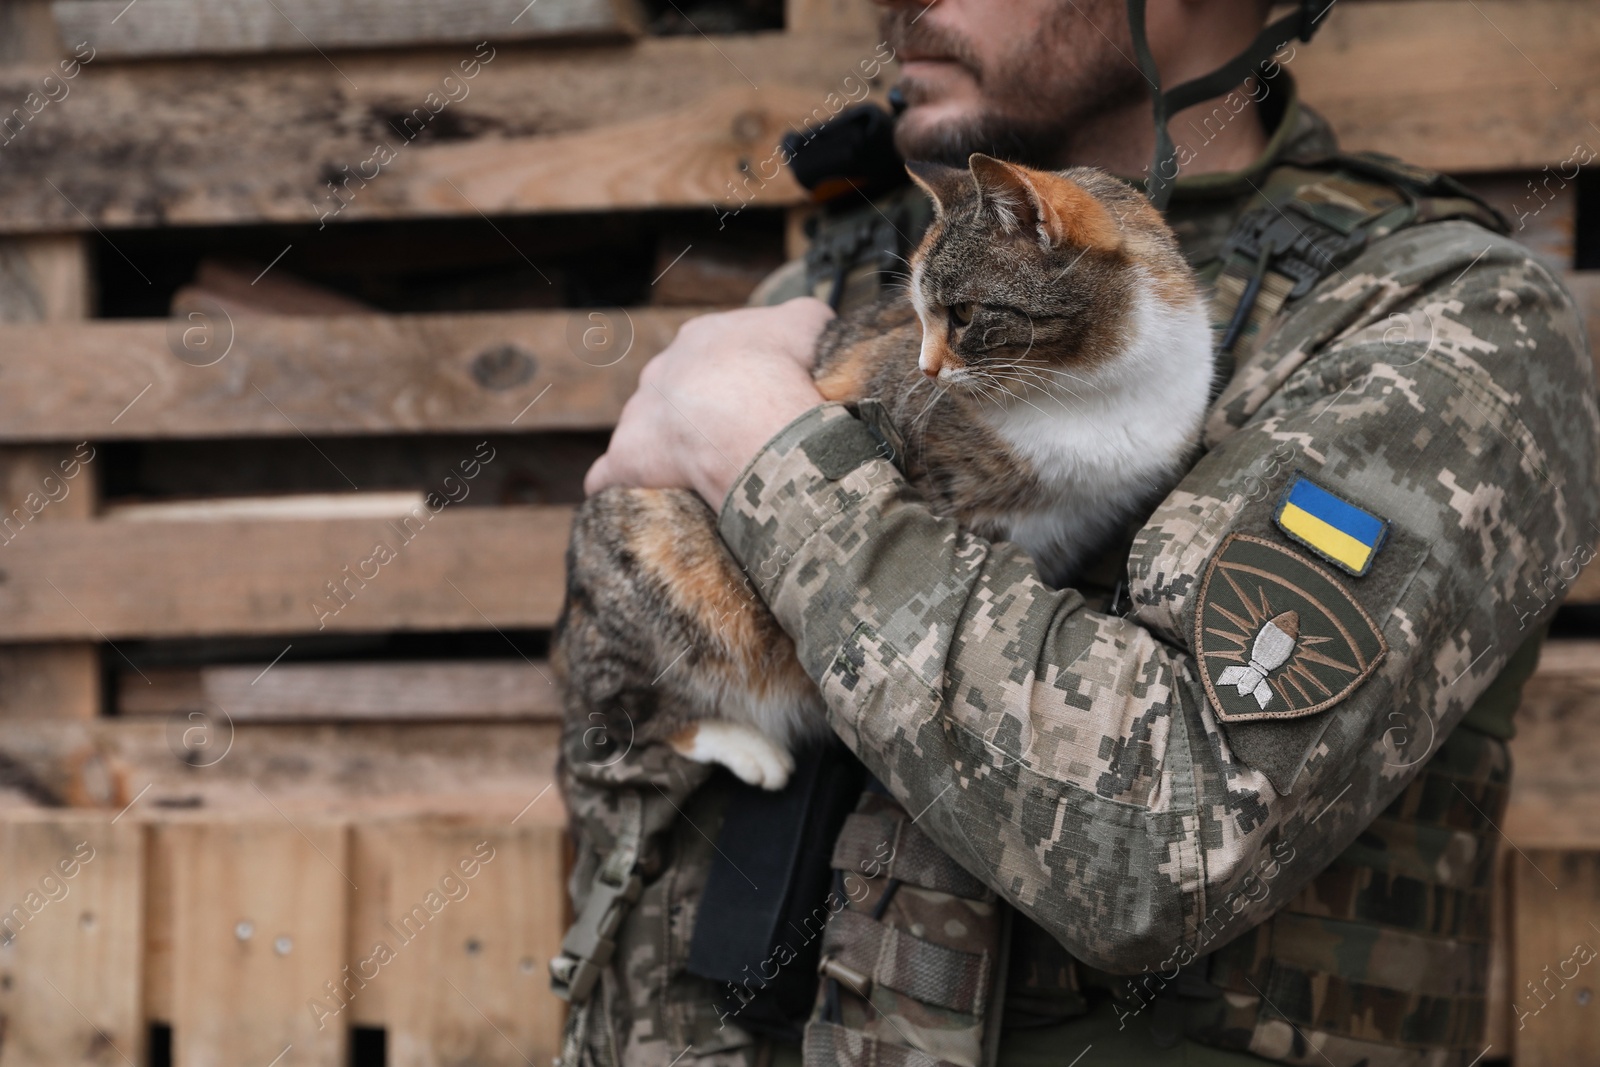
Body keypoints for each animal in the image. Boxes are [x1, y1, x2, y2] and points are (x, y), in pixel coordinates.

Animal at [553, 156, 1209, 793]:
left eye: (963, 313)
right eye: (918, 316)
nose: (926, 368)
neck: (1087, 389)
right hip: (664, 563)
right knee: (613, 728)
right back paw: (743, 745)